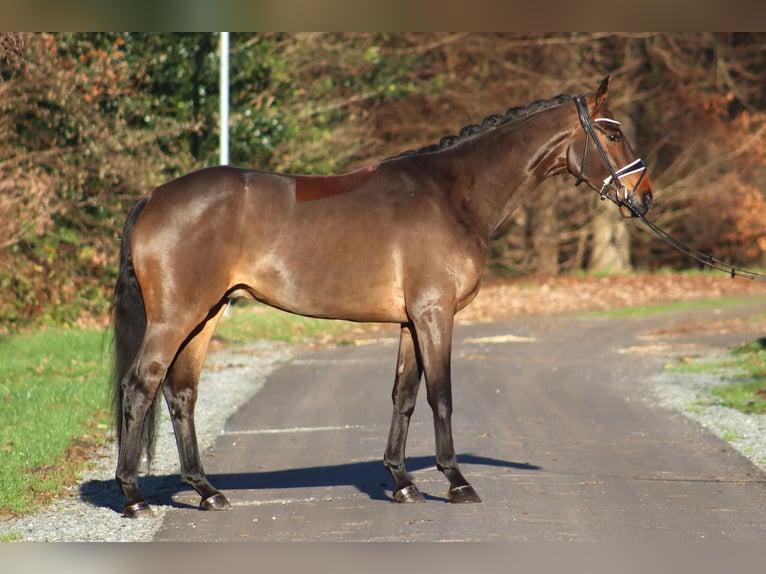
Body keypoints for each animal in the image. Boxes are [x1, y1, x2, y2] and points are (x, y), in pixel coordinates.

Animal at [112, 74, 656, 520]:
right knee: (140, 386)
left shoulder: (411, 321)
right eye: (612, 134)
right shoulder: (435, 314)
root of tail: (154, 196)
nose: (645, 196)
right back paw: (134, 496)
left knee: (181, 393)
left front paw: (403, 482)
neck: (452, 195)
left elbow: (405, 395)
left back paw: (207, 492)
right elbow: (441, 394)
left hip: (206, 315)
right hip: (177, 317)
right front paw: (457, 482)